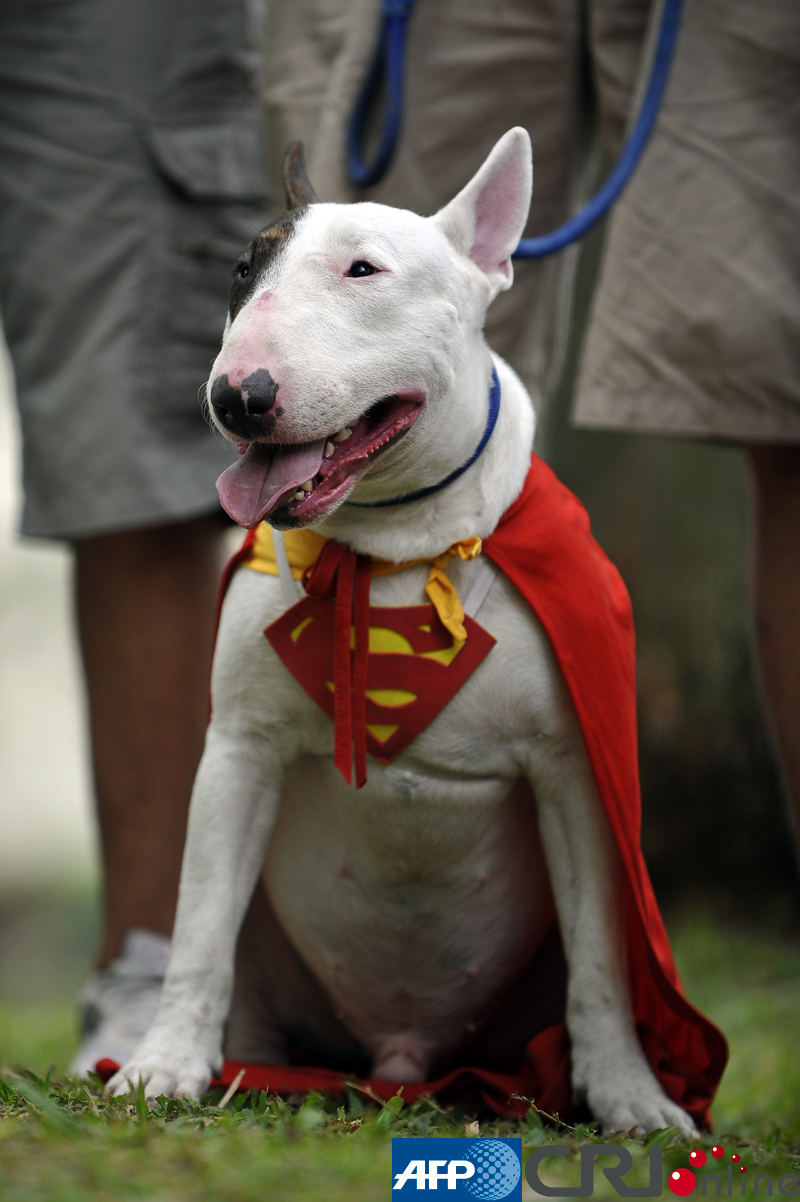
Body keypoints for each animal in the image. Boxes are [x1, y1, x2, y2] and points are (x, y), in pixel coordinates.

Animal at [110, 131, 696, 1134]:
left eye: (363, 270)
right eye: (242, 270)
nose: (237, 397)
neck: (394, 547)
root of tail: (401, 1064)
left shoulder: (578, 770)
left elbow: (601, 963)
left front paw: (631, 1095)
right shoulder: (238, 751)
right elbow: (198, 926)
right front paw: (165, 1066)